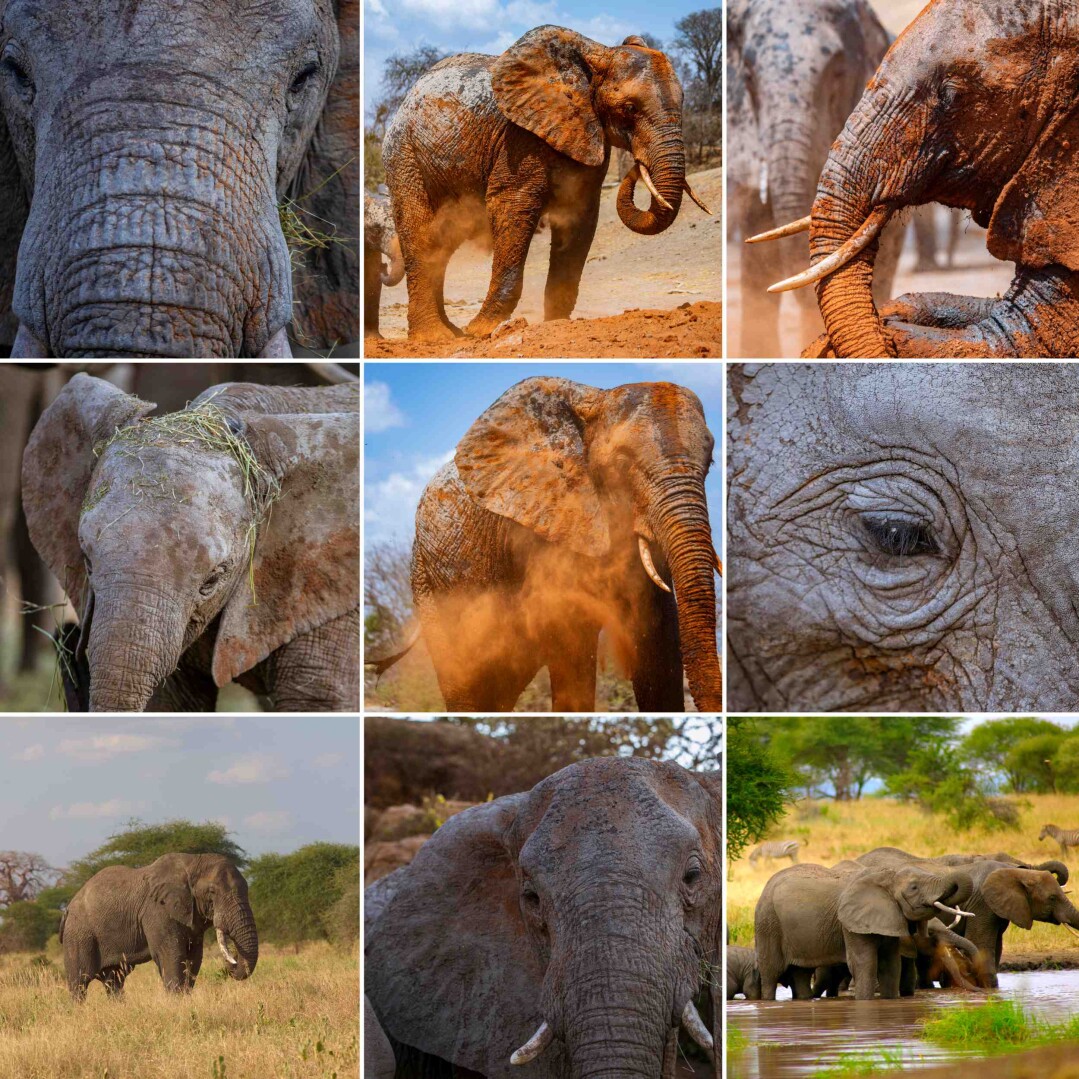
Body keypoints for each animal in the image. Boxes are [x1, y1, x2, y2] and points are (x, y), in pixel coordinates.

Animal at [60, 853, 257, 1000]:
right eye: (212, 892)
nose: (231, 963)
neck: (192, 862)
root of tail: (67, 908)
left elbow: (194, 957)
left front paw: (186, 998)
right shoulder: (157, 911)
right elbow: (171, 954)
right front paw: (177, 1002)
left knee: (114, 979)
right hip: (79, 934)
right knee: (80, 981)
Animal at [383, 25, 711, 342]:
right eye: (629, 108)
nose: (636, 166)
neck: (592, 60)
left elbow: (578, 219)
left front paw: (555, 323)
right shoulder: (519, 138)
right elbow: (512, 206)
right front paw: (480, 330)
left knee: (443, 241)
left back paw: (451, 332)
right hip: (404, 156)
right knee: (421, 235)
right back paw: (434, 337)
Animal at [754, 861, 974, 1000]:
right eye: (913, 887)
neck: (886, 875)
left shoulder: (889, 917)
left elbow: (890, 965)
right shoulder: (850, 922)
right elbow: (865, 964)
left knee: (801, 974)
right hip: (767, 923)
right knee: (771, 974)